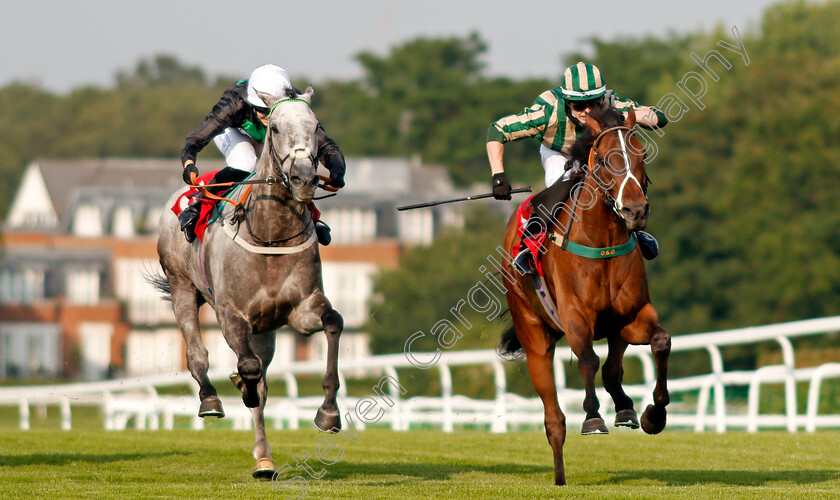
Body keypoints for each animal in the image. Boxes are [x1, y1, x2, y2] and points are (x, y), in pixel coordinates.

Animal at [150, 88, 342, 478]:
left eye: (315, 126)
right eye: (278, 128)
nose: (303, 179)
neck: (271, 233)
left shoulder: (302, 309)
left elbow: (333, 323)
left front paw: (328, 413)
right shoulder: (230, 314)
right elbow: (248, 369)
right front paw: (241, 387)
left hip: (265, 328)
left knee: (262, 378)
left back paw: (264, 459)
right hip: (182, 288)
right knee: (198, 354)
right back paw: (210, 398)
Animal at [498, 105, 668, 484]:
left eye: (642, 155)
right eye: (604, 160)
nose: (636, 210)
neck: (601, 239)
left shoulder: (632, 316)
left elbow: (660, 341)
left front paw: (655, 414)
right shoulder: (575, 317)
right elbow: (588, 360)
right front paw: (592, 418)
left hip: (615, 330)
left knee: (613, 370)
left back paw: (625, 409)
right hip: (534, 334)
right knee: (554, 418)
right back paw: (560, 475)